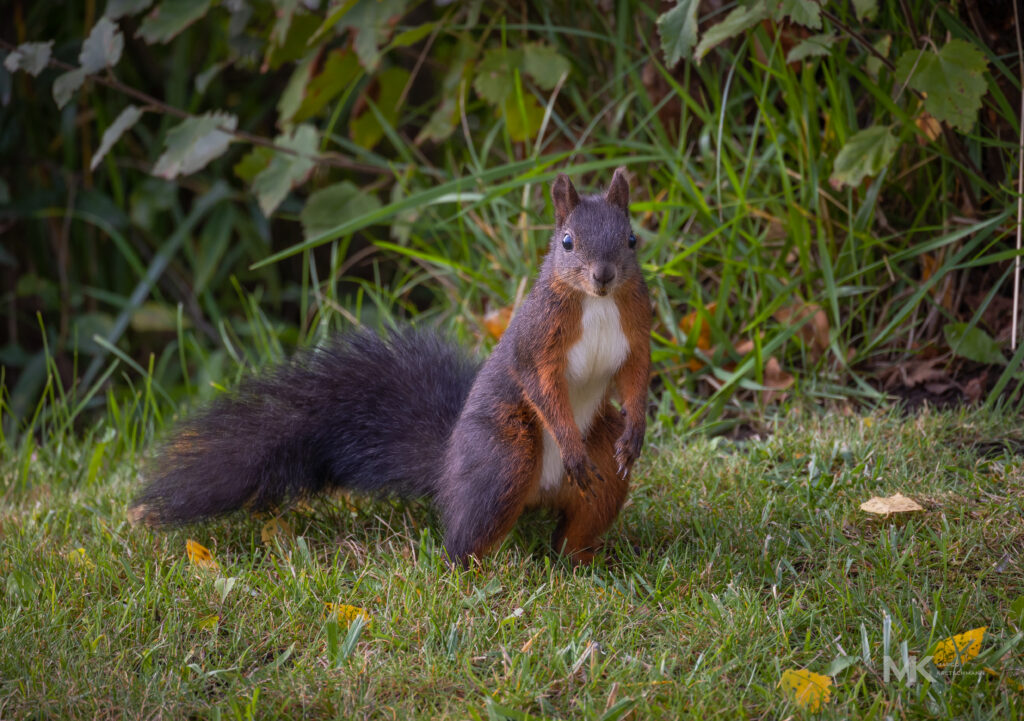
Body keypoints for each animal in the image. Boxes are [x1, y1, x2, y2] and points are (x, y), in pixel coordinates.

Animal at [130, 168, 651, 566]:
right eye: (567, 241)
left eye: (631, 239)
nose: (603, 276)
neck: (596, 303)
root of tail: (447, 467)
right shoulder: (536, 339)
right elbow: (541, 385)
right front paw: (570, 445)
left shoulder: (635, 331)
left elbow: (635, 376)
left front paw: (636, 433)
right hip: (504, 454)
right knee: (465, 537)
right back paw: (480, 571)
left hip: (600, 470)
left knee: (577, 523)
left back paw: (586, 558)